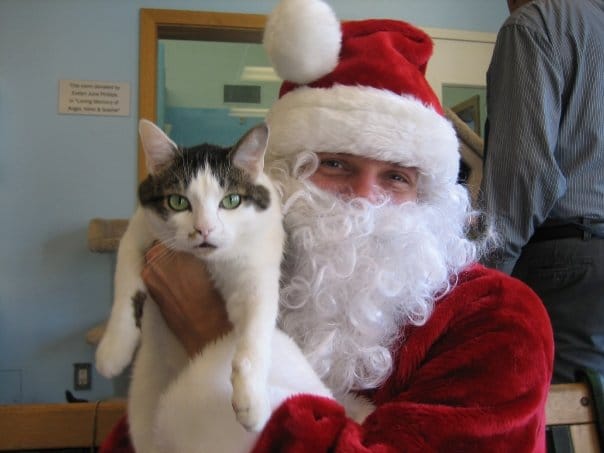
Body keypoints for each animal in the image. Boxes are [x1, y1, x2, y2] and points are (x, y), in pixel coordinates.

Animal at [95, 120, 332, 452]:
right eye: (178, 201)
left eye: (231, 201)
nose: (203, 229)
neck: (210, 262)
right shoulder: (138, 232)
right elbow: (125, 286)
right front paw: (113, 350)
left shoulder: (257, 271)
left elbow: (253, 336)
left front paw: (252, 403)